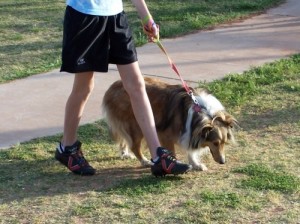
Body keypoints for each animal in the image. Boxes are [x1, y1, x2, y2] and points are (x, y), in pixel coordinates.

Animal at [102, 76, 238, 171]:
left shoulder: (189, 132)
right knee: (134, 146)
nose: (222, 162)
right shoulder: (166, 135)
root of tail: (113, 87)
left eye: (224, 142)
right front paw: (173, 165)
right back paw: (144, 161)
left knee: (124, 139)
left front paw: (196, 164)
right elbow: (173, 152)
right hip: (136, 125)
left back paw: (125, 153)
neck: (203, 113)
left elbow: (190, 150)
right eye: (215, 143)